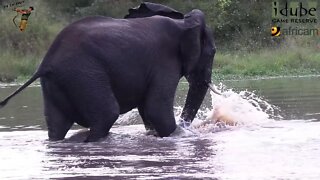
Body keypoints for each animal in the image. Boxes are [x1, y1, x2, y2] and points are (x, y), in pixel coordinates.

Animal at [0, 2, 216, 141]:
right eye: (213, 52)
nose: (187, 126)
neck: (184, 22)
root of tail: (45, 63)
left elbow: (147, 109)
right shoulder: (164, 61)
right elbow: (156, 109)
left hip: (60, 82)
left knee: (57, 125)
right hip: (83, 74)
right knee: (107, 114)